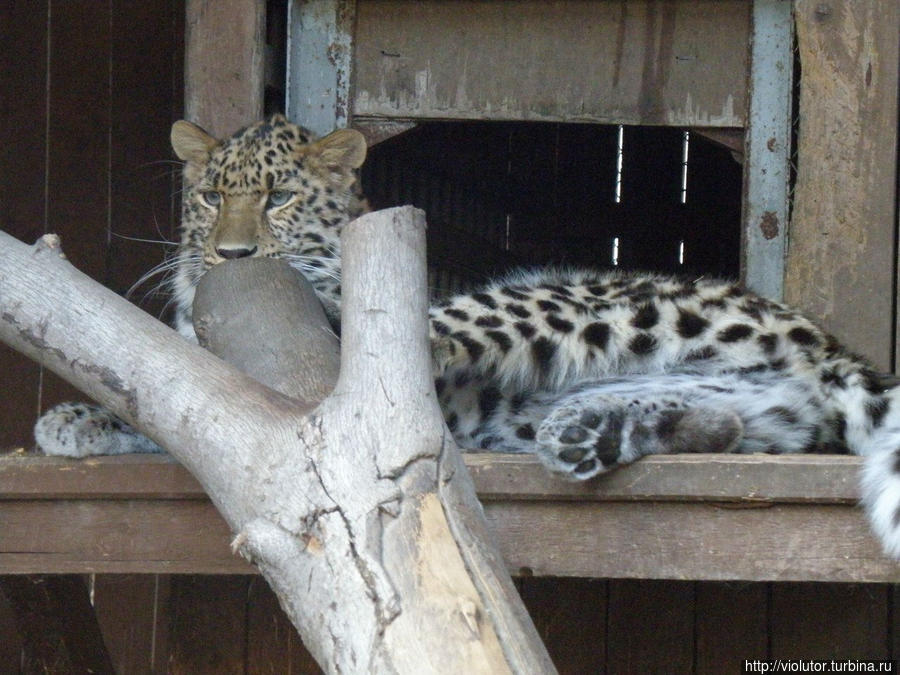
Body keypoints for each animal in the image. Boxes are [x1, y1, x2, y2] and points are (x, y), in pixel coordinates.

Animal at [35, 115, 900, 560]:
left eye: (278, 197)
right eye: (213, 195)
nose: (232, 255)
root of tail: (822, 339)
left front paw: (80, 418)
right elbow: (171, 392)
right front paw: (77, 417)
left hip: (551, 299)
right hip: (756, 403)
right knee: (729, 419)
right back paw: (585, 433)